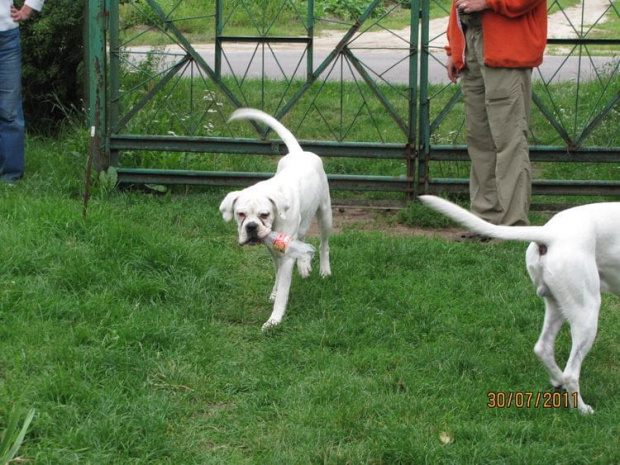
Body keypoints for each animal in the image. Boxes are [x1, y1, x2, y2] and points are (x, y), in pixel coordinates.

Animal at [220, 109, 332, 330]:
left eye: (264, 214)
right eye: (240, 214)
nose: (251, 227)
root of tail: (299, 152)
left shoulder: (285, 254)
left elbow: (283, 290)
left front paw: (274, 320)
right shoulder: (274, 249)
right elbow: (279, 275)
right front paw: (274, 291)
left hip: (325, 214)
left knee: (324, 244)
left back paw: (324, 270)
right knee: (302, 240)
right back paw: (304, 265)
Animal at [418, 193, 616, 414]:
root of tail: (550, 233)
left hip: (559, 305)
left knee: (543, 348)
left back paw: (558, 382)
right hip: (586, 310)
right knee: (571, 373)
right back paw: (582, 409)